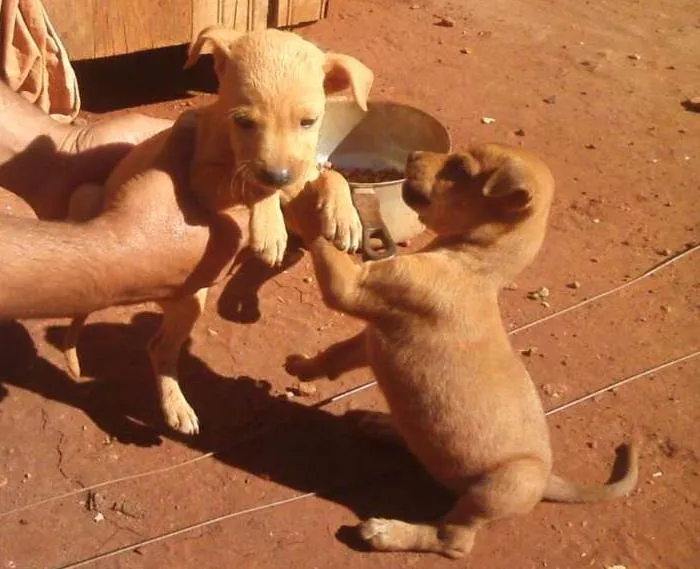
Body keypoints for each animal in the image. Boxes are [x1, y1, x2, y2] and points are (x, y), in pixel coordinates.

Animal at [64, 25, 372, 434]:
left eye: (309, 121)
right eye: (243, 121)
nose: (279, 175)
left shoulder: (300, 176)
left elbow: (329, 176)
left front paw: (344, 217)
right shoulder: (203, 179)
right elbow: (250, 185)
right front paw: (271, 230)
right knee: (158, 347)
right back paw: (177, 408)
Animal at [284, 146, 640, 560]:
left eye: (460, 168)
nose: (413, 153)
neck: (474, 264)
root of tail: (547, 479)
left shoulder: (352, 287)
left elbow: (321, 240)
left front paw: (307, 200)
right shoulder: (373, 335)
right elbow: (337, 353)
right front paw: (304, 368)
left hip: (497, 489)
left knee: (451, 539)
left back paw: (387, 532)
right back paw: (383, 426)